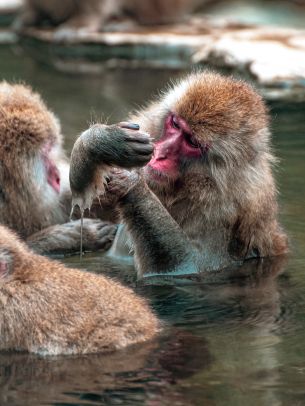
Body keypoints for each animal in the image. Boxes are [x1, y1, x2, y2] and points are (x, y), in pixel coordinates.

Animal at [69, 71, 288, 278]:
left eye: (192, 142)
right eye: (175, 124)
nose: (159, 154)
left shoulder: (225, 210)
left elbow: (189, 265)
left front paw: (131, 183)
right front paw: (100, 142)